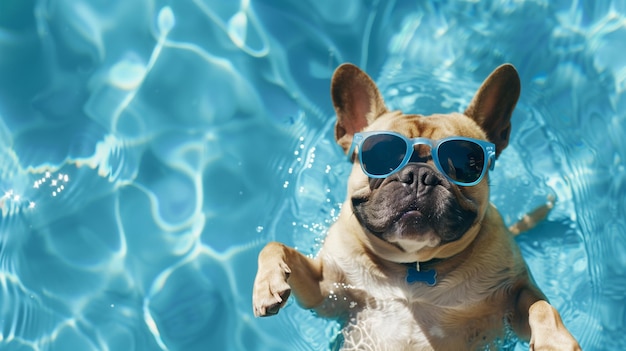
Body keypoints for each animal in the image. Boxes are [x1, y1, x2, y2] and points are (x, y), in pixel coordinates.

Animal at [251, 64, 576, 351]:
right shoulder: (325, 292)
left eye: (467, 163)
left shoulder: (511, 299)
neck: (415, 266)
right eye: (380, 157)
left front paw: (555, 341)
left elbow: (541, 306)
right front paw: (268, 284)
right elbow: (275, 246)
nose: (420, 175)